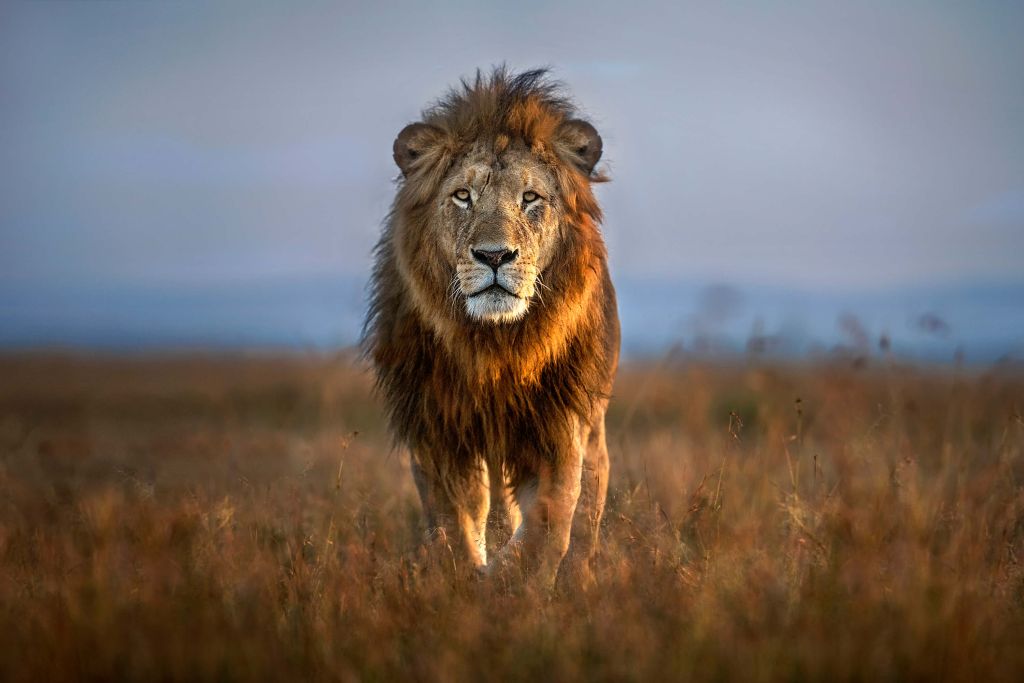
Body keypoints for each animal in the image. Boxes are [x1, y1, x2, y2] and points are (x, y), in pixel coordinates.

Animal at [364, 66, 618, 585]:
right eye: (463, 196)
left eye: (530, 197)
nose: (495, 256)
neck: (496, 345)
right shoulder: (437, 427)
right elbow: (454, 521)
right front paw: (465, 579)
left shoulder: (559, 425)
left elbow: (549, 523)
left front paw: (511, 583)